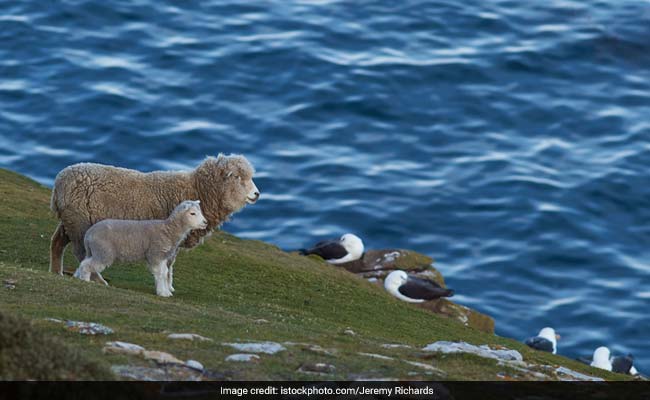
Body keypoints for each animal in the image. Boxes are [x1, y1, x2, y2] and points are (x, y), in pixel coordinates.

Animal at [49, 154, 259, 279]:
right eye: (238, 177)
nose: (257, 194)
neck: (197, 189)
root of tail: (59, 183)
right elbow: (168, 264)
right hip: (80, 223)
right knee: (81, 253)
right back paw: (98, 281)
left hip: (71, 221)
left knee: (57, 242)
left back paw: (56, 272)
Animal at [73, 200, 208, 297]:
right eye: (192, 213)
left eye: (200, 211)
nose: (205, 222)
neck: (169, 230)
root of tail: (89, 234)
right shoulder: (156, 254)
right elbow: (160, 273)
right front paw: (163, 293)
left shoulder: (163, 256)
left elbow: (165, 272)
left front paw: (165, 291)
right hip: (104, 252)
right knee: (87, 265)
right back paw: (85, 280)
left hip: (95, 251)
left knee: (84, 262)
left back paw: (81, 277)